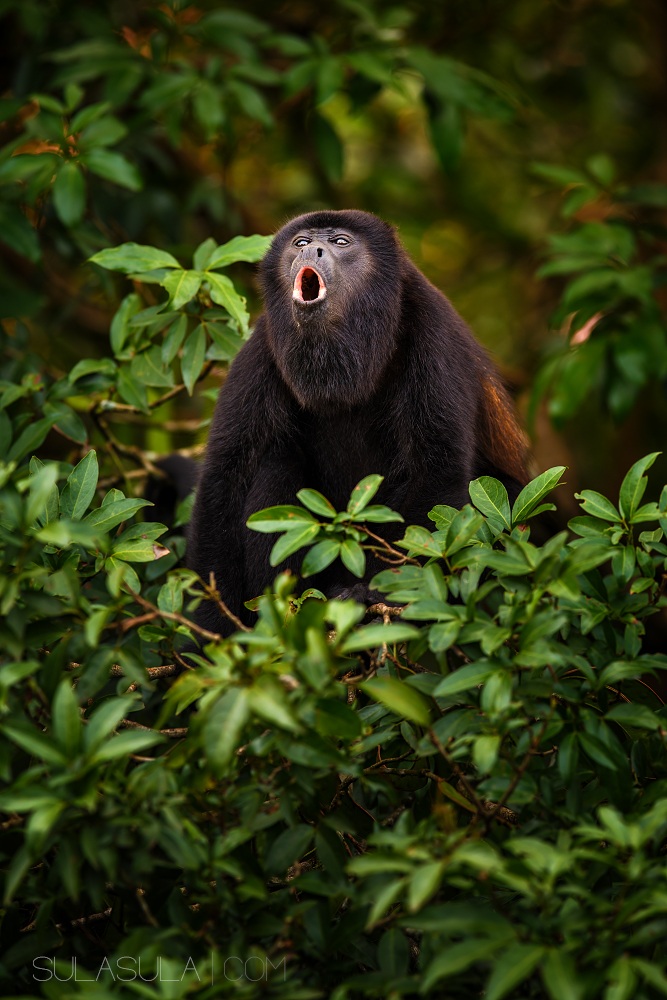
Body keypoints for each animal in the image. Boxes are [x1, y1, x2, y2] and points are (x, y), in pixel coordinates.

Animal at [187, 209, 527, 635]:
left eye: (340, 242)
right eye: (301, 242)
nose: (313, 250)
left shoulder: (435, 335)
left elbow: (436, 470)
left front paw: (383, 594)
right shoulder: (259, 350)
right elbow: (225, 479)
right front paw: (211, 626)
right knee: (274, 463)